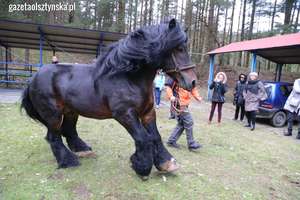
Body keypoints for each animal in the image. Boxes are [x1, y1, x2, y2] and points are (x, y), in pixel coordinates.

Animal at [22, 18, 198, 178]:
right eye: (180, 48)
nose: (192, 82)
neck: (128, 78)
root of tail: (33, 78)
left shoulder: (148, 113)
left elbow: (155, 136)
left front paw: (166, 163)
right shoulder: (125, 114)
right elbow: (143, 138)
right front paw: (141, 166)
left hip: (71, 112)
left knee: (68, 131)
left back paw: (83, 151)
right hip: (53, 115)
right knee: (54, 137)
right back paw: (68, 161)